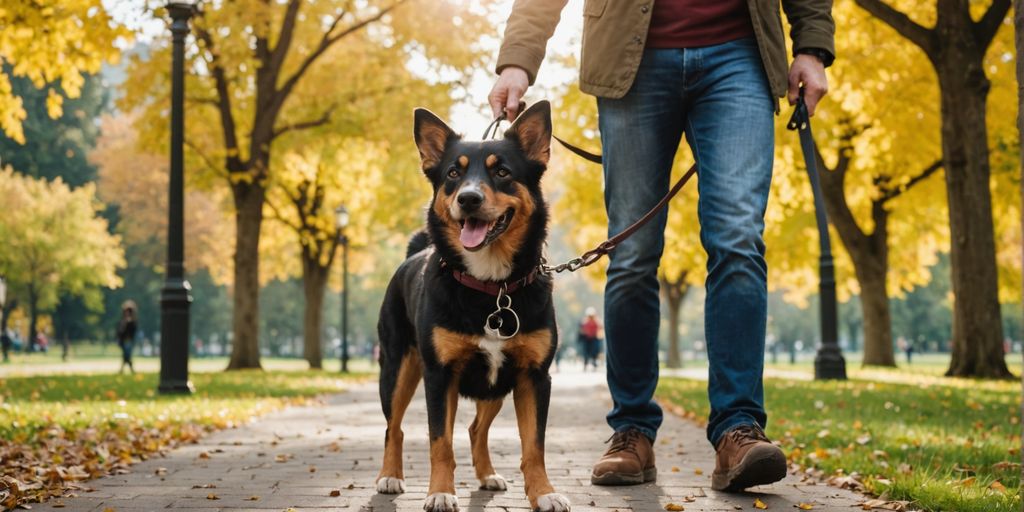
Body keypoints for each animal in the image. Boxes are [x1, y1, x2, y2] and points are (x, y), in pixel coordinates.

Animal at [374, 100, 573, 512]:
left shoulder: (534, 377)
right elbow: (440, 442)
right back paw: (390, 476)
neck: (491, 288)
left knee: (475, 428)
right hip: (397, 368)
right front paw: (439, 492)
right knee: (393, 427)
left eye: (502, 172)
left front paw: (543, 492)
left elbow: (535, 446)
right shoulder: (440, 376)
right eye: (453, 173)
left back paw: (486, 475)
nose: (468, 198)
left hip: (494, 386)